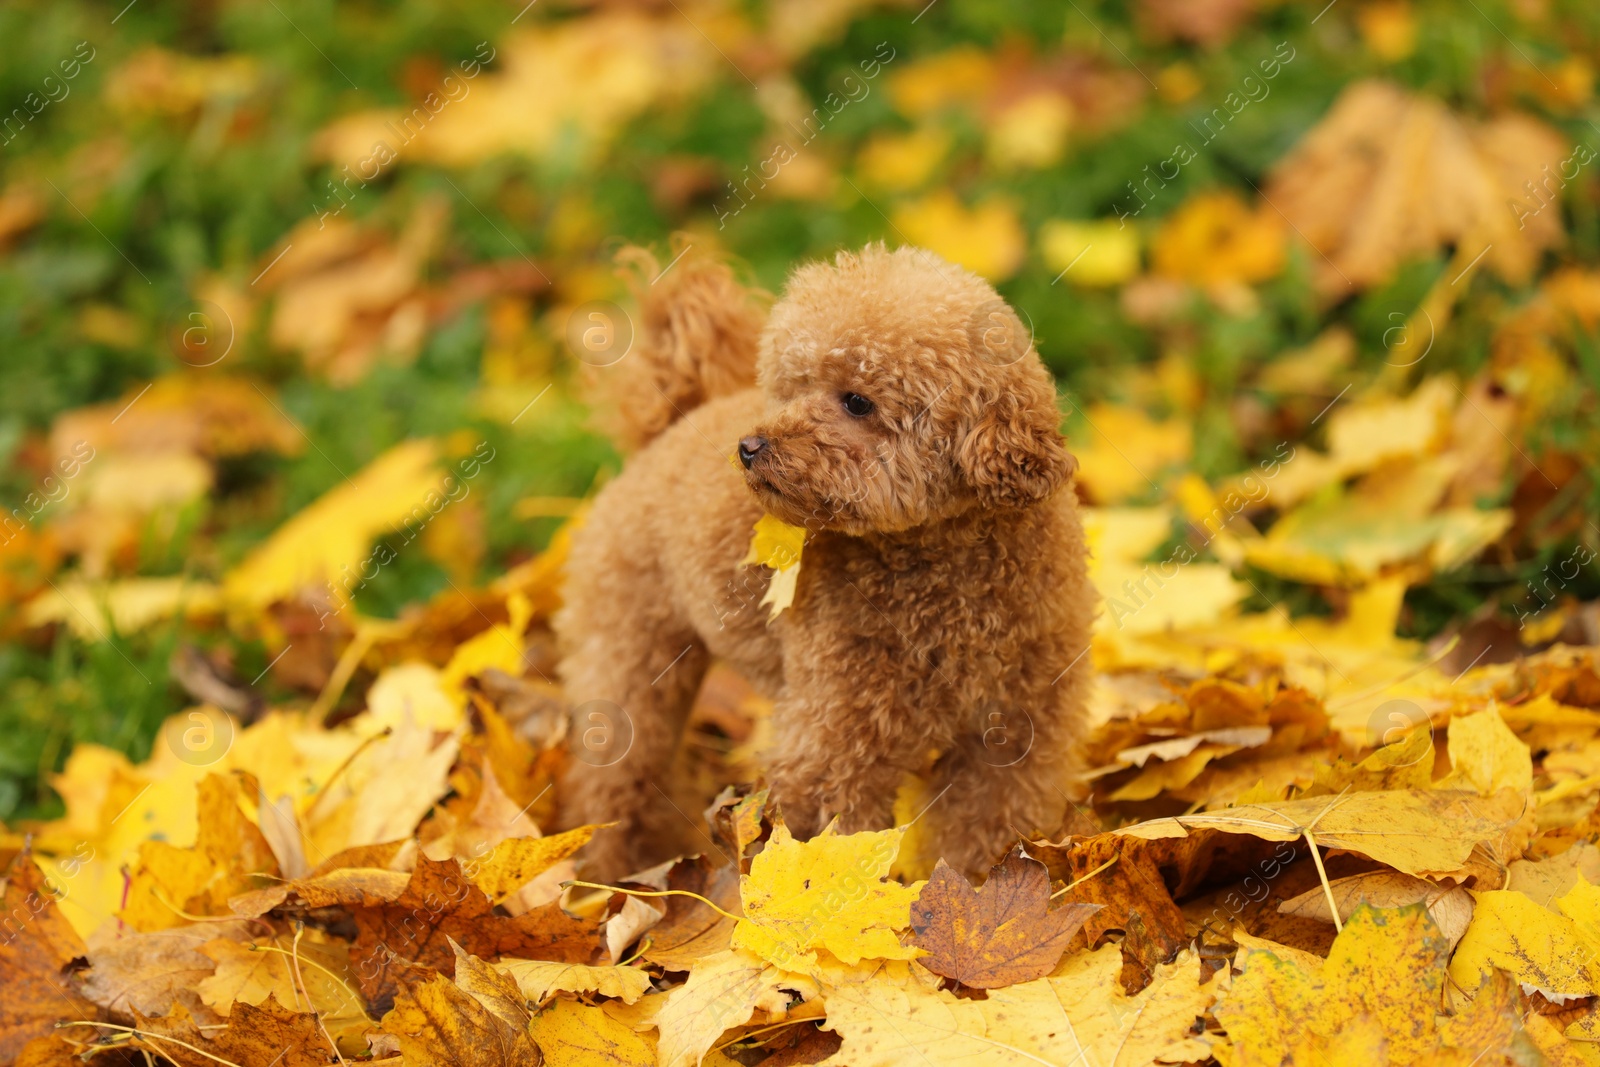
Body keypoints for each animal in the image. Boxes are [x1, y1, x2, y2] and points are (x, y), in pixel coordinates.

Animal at [556, 244, 1094, 883]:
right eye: (792, 388)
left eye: (857, 401)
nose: (750, 447)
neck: (952, 567)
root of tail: (668, 428)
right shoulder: (834, 741)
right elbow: (826, 853)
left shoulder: (1011, 735)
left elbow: (985, 829)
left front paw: (977, 894)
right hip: (625, 648)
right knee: (616, 778)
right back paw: (615, 877)